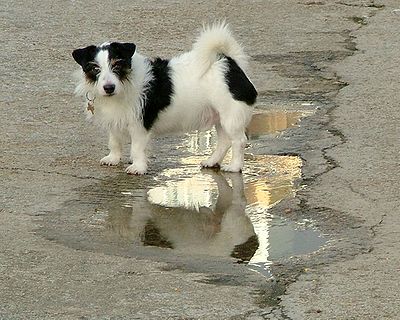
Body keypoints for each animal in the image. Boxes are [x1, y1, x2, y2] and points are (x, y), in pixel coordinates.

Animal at [72, 23, 256, 175]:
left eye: (117, 65)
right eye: (95, 69)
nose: (109, 88)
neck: (125, 84)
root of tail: (230, 62)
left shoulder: (140, 124)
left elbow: (137, 148)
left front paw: (138, 167)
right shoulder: (115, 121)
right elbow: (114, 141)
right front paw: (113, 158)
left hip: (230, 117)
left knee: (238, 141)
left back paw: (235, 166)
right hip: (220, 117)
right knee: (224, 142)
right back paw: (212, 161)